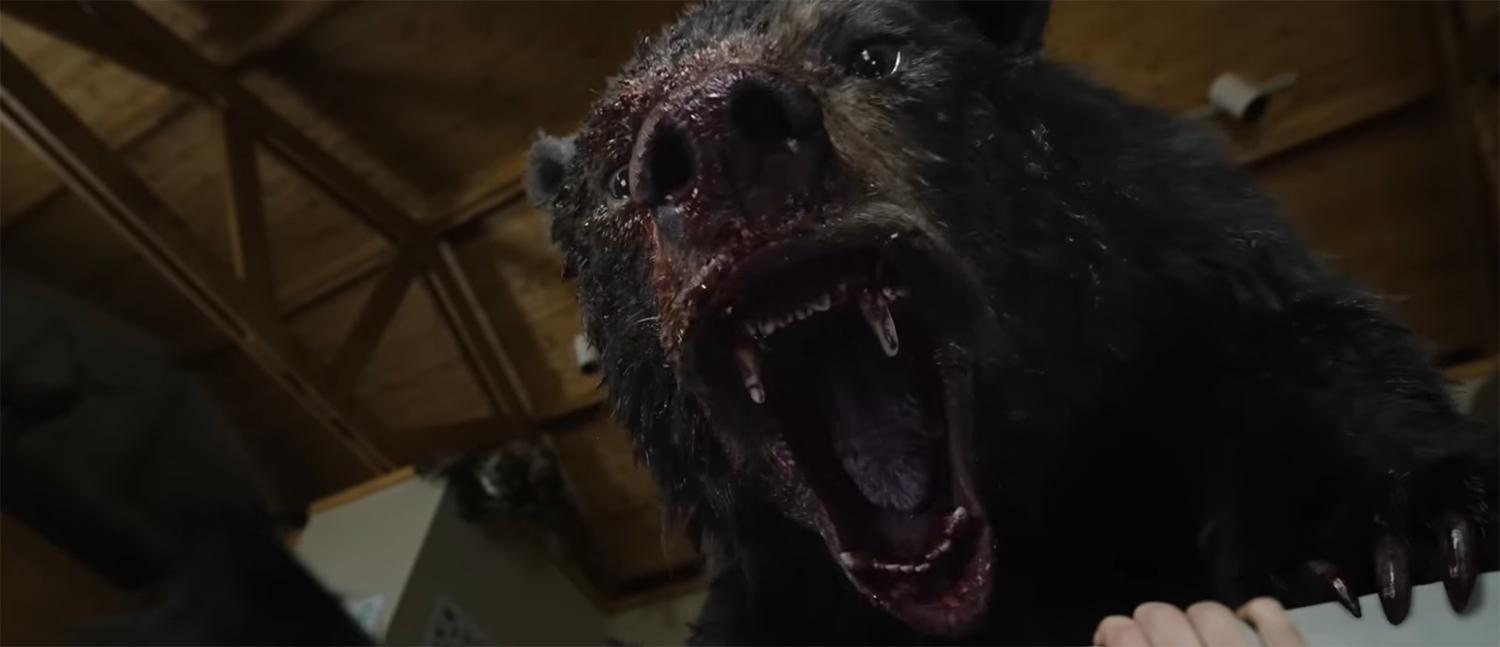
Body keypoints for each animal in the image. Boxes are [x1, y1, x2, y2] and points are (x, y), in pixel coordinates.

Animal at [524, 1, 1498, 644]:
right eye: (609, 173)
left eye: (876, 53)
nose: (713, 127)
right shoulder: (779, 594)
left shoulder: (1183, 256)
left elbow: (1309, 350)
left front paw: (1399, 531)